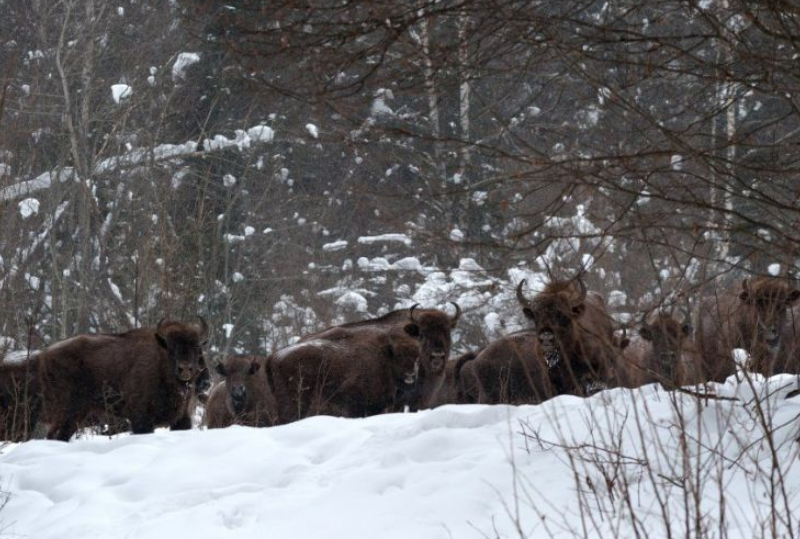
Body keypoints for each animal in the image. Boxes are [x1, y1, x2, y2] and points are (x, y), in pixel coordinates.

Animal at [38, 318, 208, 440]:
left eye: (197, 347)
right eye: (171, 347)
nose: (185, 368)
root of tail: (46, 354)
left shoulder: (182, 419)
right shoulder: (141, 419)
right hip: (69, 412)